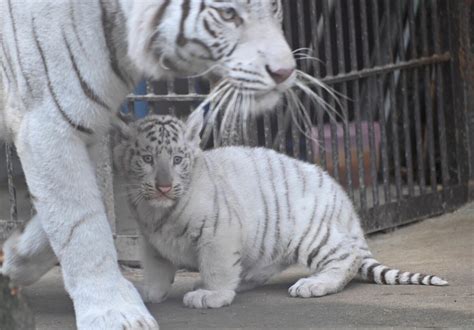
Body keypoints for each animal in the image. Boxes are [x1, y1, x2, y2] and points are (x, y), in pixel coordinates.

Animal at [0, 1, 296, 328]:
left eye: (274, 6)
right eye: (228, 14)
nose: (285, 72)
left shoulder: (85, 128)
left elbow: (70, 214)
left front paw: (13, 260)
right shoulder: (47, 123)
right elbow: (79, 224)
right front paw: (114, 312)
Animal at [113, 113, 446, 310]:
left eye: (178, 159)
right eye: (147, 158)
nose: (164, 186)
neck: (157, 212)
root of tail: (345, 203)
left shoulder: (218, 233)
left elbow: (217, 268)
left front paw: (212, 296)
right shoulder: (150, 241)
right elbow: (156, 270)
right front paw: (148, 294)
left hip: (313, 234)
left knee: (346, 260)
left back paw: (312, 285)